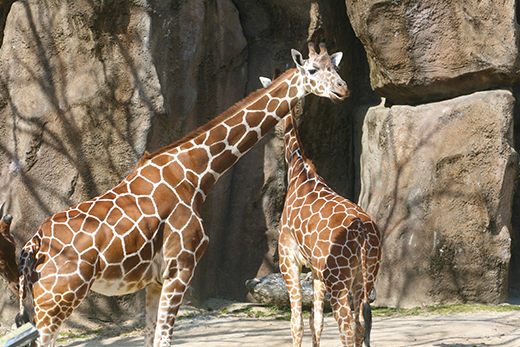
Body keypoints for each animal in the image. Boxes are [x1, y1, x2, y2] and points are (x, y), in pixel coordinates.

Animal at [1, 42, 350, 347]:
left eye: (335, 67)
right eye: (312, 69)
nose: (343, 90)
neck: (195, 172)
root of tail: (32, 247)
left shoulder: (155, 280)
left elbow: (152, 339)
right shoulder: (180, 267)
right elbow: (164, 338)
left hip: (44, 302)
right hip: (58, 299)